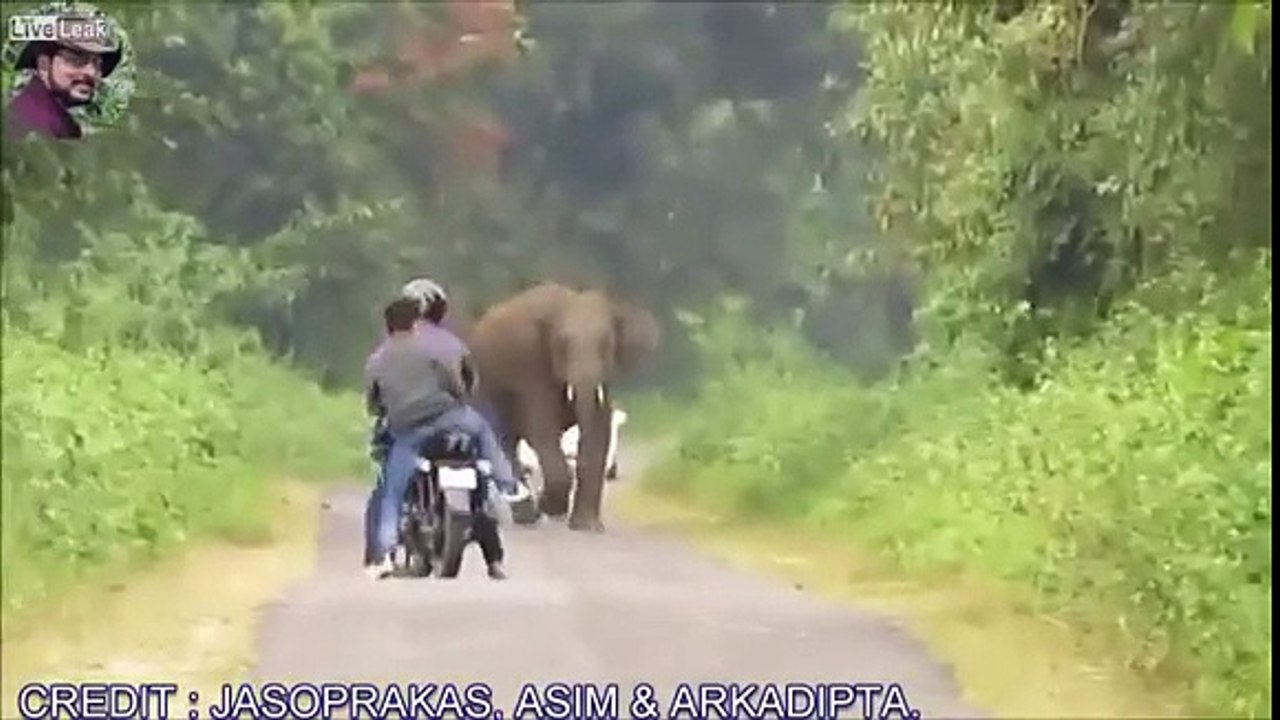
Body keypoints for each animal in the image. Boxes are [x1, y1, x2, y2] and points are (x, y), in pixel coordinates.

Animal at [467, 282, 660, 532]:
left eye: (606, 344)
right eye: (563, 343)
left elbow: (600, 429)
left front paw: (587, 526)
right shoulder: (531, 364)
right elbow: (542, 427)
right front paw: (549, 507)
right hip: (484, 386)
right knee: (503, 440)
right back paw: (529, 518)